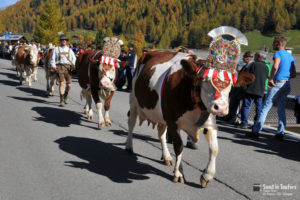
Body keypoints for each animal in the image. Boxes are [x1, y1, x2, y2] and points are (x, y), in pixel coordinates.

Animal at [125, 51, 254, 188]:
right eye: (205, 80)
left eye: (231, 84)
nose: (221, 108)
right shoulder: (173, 121)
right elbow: (179, 146)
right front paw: (179, 173)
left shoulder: (209, 122)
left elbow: (214, 148)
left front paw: (207, 175)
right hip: (133, 101)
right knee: (131, 124)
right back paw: (129, 146)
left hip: (161, 115)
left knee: (161, 133)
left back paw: (167, 157)